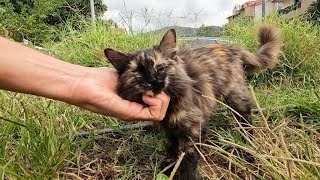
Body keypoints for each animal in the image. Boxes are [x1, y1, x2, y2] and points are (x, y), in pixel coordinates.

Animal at [104, 24, 282, 180]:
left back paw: (247, 146)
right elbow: (171, 153)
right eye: (139, 72)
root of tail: (231, 47)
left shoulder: (192, 128)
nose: (154, 81)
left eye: (160, 68)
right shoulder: (170, 131)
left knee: (246, 118)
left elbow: (189, 159)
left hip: (236, 97)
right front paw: (166, 171)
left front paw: (187, 175)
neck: (169, 107)